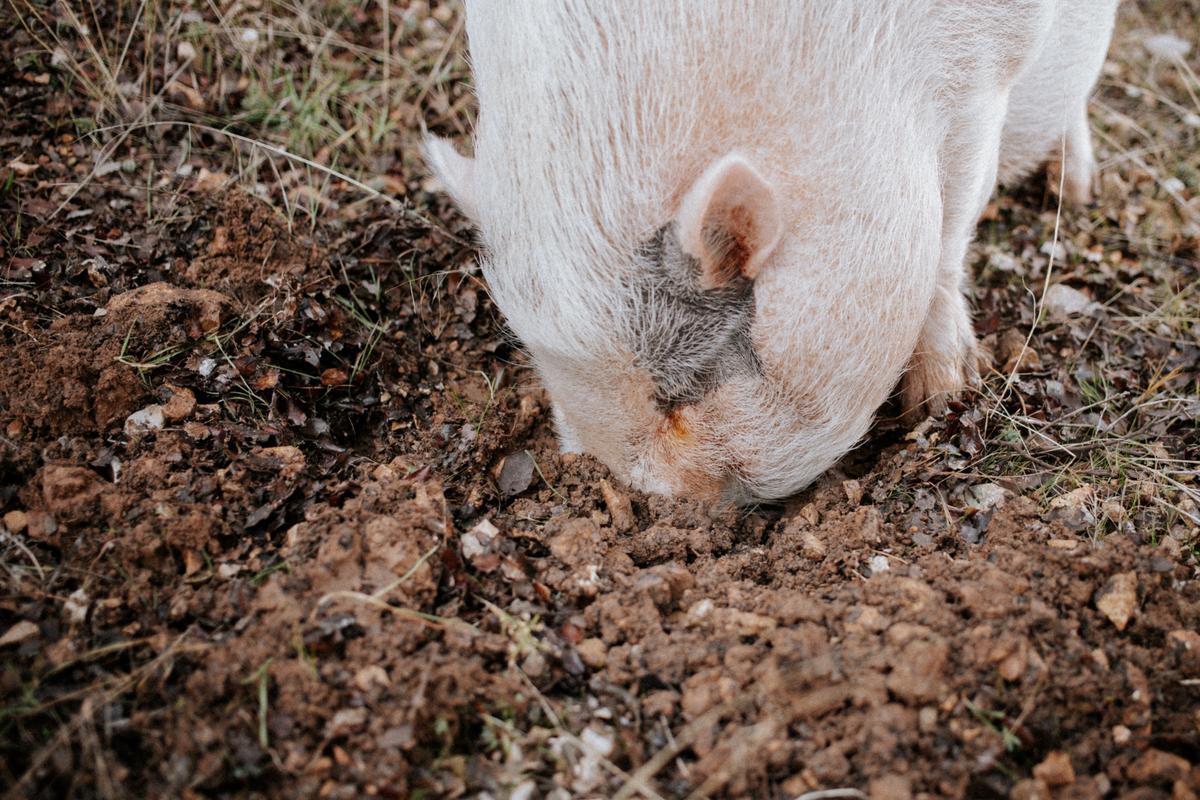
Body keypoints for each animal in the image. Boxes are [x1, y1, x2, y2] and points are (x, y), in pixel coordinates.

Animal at [427, 0, 1118, 501]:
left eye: (679, 393)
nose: (656, 501)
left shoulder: (987, 77)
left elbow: (955, 229)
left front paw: (943, 398)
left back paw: (1078, 189)